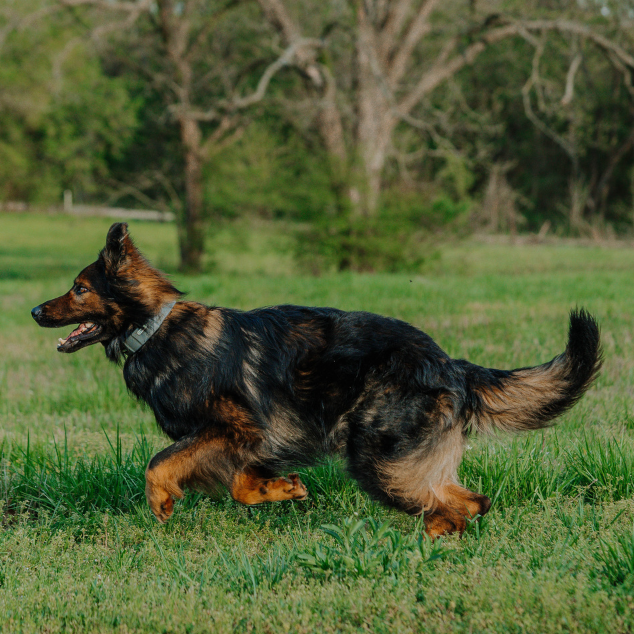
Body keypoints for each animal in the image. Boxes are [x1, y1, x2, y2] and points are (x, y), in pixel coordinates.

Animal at [32, 222, 600, 532]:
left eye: (80, 288)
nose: (35, 311)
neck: (155, 328)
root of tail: (449, 363)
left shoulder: (234, 430)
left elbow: (159, 464)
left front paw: (162, 500)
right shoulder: (251, 443)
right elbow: (241, 485)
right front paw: (283, 490)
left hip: (377, 457)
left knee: (450, 508)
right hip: (399, 461)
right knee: (468, 502)